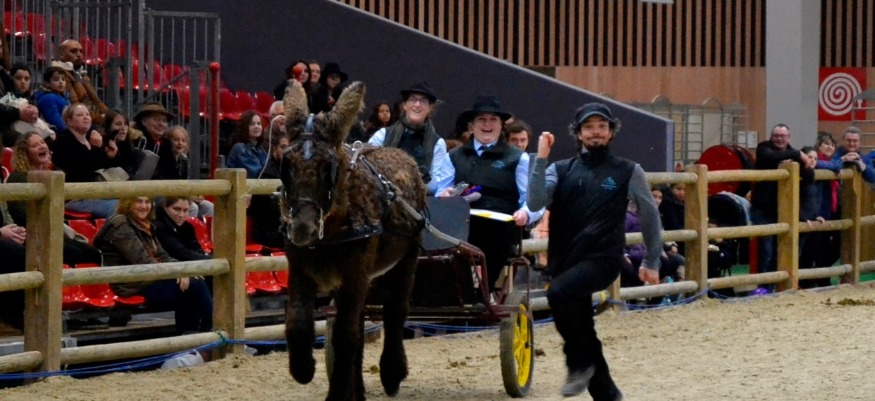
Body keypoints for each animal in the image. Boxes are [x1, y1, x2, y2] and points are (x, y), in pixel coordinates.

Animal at [279, 79, 426, 401]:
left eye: (328, 166)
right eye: (287, 164)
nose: (302, 228)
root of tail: (404, 156)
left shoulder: (354, 274)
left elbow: (346, 338)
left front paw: (337, 395)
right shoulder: (300, 270)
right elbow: (297, 324)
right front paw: (303, 369)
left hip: (406, 259)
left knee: (395, 312)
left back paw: (392, 373)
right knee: (360, 323)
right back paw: (358, 389)